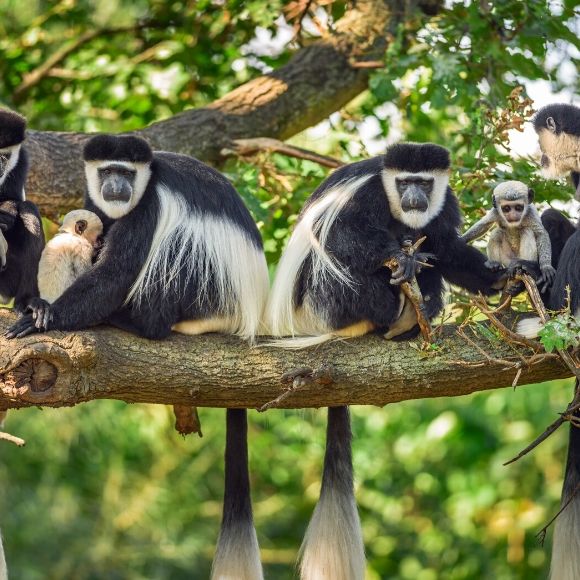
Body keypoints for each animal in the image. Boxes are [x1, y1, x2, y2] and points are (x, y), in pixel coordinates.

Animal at [6, 134, 270, 580]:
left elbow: (115, 273)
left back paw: (135, 320)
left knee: (176, 250)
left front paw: (45, 317)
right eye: (107, 171)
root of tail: (244, 316)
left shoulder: (149, 207)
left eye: (127, 173)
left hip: (205, 291)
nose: (117, 187)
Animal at [266, 142, 502, 580]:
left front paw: (500, 275)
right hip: (327, 302)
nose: (415, 198)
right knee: (342, 261)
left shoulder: (444, 205)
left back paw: (414, 313)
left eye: (424, 182)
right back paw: (393, 307)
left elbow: (446, 247)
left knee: (428, 254)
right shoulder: (366, 196)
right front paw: (398, 255)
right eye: (404, 182)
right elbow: (343, 236)